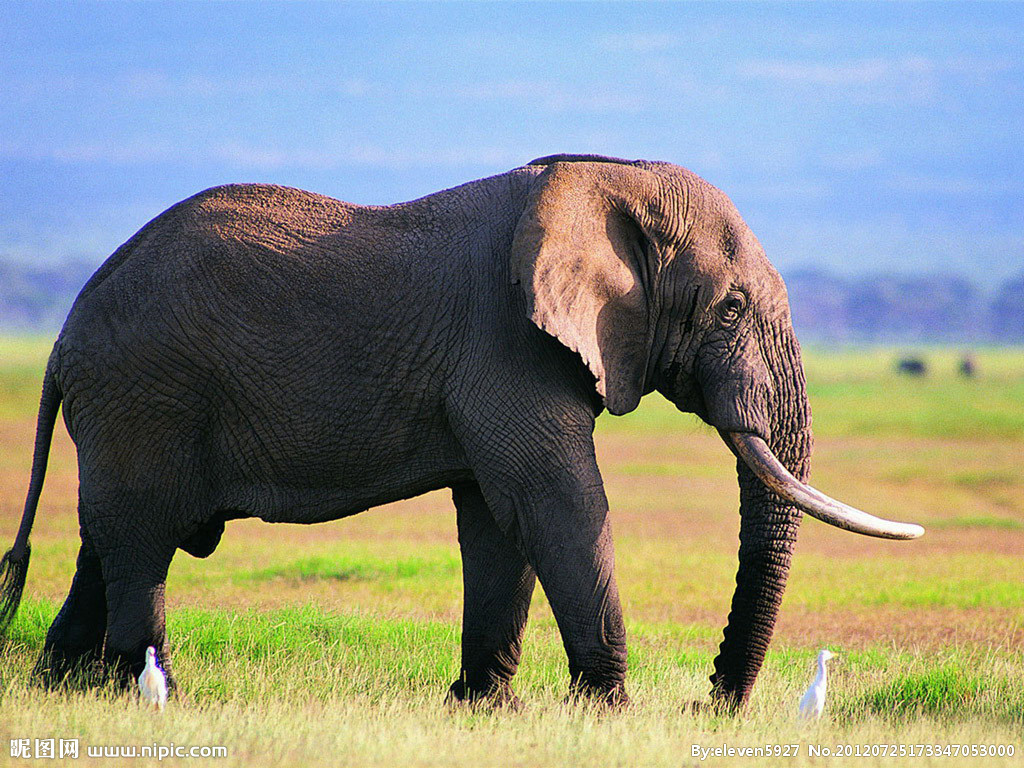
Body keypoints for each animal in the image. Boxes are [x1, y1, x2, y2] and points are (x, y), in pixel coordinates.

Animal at [0, 154, 925, 708]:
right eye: (730, 309)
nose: (711, 702)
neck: (606, 175)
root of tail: (62, 338)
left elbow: (498, 521)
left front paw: (487, 708)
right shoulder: (507, 343)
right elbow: (559, 503)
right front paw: (608, 713)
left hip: (127, 408)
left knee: (105, 538)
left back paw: (62, 685)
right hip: (144, 394)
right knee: (139, 539)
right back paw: (151, 693)